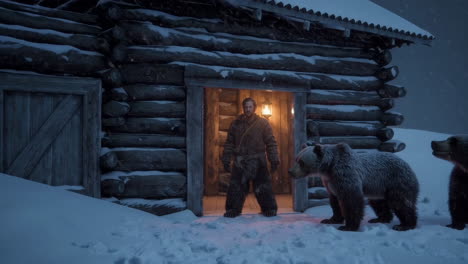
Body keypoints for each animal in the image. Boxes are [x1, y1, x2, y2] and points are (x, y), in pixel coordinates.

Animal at [288, 143, 420, 232]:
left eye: (301, 162)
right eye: (296, 159)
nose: (291, 172)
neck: (329, 168)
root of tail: (409, 166)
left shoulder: (345, 175)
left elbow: (351, 200)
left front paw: (348, 226)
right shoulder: (330, 183)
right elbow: (335, 201)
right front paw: (331, 219)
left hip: (396, 181)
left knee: (400, 202)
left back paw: (404, 225)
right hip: (378, 188)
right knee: (379, 203)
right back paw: (380, 218)